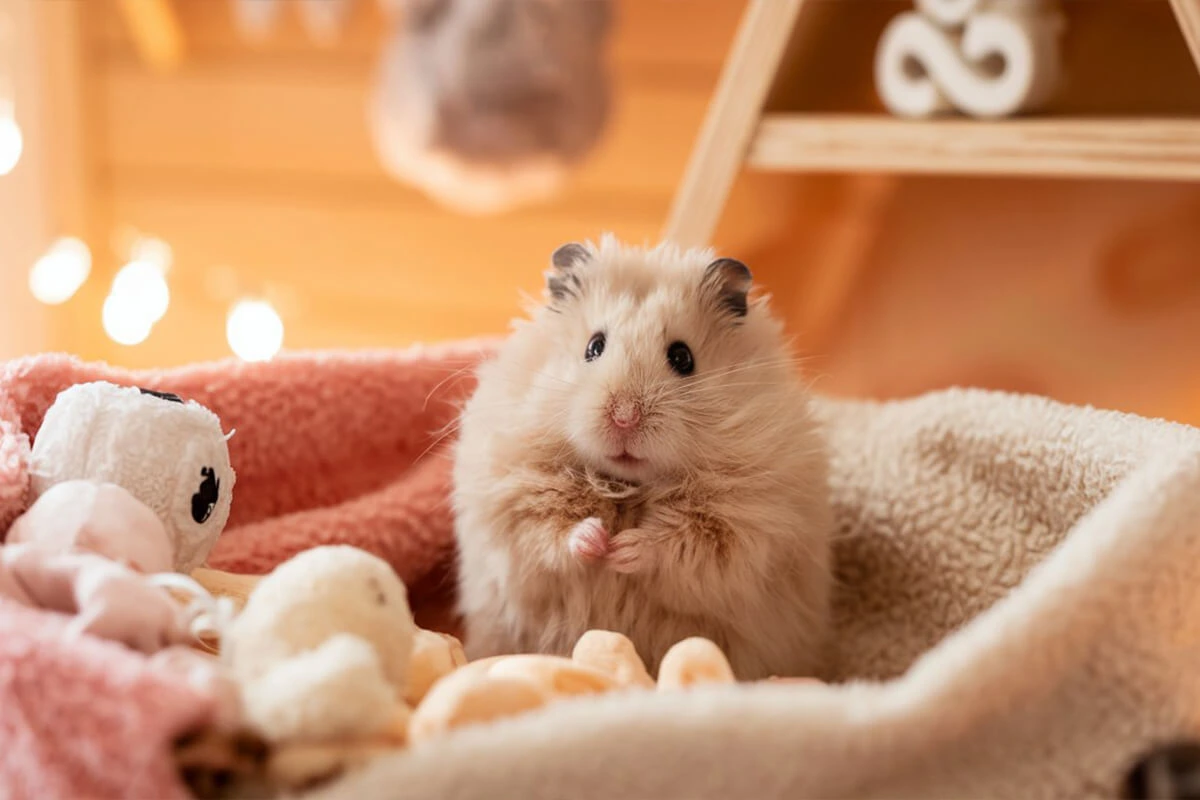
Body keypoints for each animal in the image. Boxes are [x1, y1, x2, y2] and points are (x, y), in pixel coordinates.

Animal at [451, 235, 835, 681]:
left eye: (683, 357)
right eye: (593, 347)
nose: (624, 417)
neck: (629, 485)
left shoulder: (743, 525)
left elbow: (682, 545)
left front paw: (623, 550)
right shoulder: (515, 496)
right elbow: (552, 529)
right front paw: (598, 541)